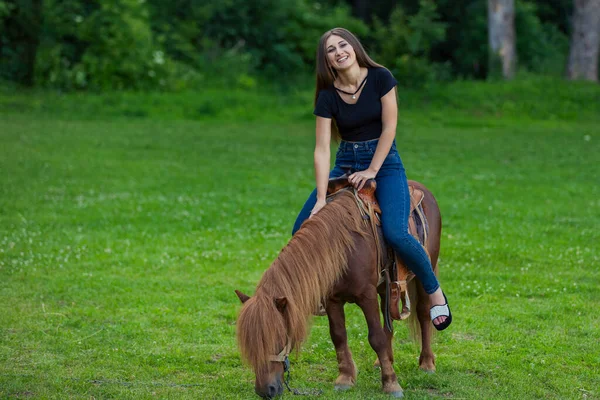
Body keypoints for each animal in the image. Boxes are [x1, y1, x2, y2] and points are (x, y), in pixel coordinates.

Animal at [234, 180, 440, 396]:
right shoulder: (331, 299)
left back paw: (427, 363)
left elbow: (376, 337)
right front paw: (345, 378)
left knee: (423, 313)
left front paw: (391, 383)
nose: (265, 390)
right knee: (389, 322)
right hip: (387, 286)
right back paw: (381, 362)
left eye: (278, 338)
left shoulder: (367, 297)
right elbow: (339, 336)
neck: (344, 248)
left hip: (425, 273)